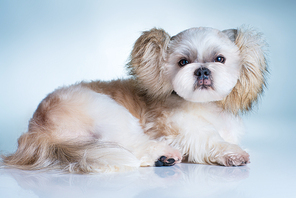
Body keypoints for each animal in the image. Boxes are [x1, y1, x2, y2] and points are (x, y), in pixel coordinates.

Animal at [1, 26, 268, 173]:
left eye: (219, 59)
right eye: (183, 62)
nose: (202, 70)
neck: (203, 105)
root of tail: (37, 130)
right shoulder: (184, 128)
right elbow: (211, 138)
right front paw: (233, 153)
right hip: (111, 112)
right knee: (136, 145)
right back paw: (163, 155)